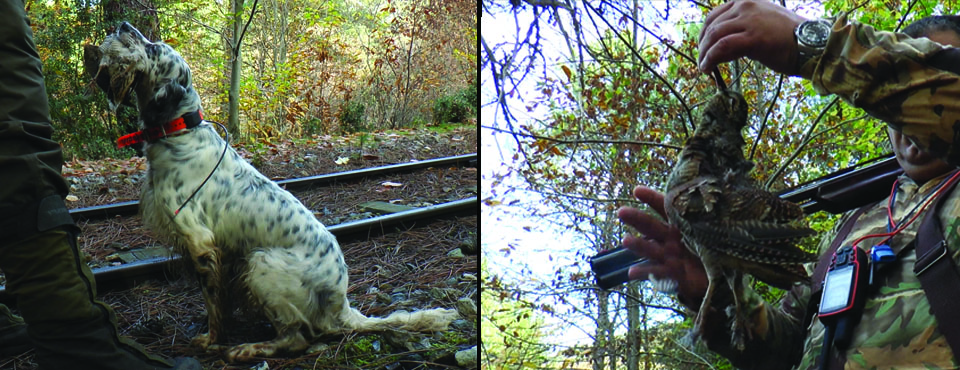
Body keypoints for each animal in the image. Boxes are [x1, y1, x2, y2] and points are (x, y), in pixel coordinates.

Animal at [89, 22, 458, 362]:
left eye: (152, 49)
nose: (122, 25)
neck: (180, 131)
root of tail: (342, 304)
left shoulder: (200, 242)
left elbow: (213, 304)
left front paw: (211, 340)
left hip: (261, 262)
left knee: (297, 338)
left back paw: (246, 349)